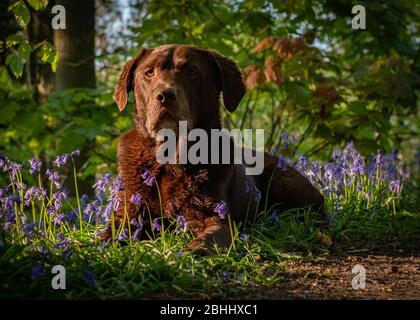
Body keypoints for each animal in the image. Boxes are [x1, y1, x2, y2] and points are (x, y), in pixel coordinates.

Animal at [101, 45, 324, 255]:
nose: (165, 95)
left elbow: (208, 239)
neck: (170, 155)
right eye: (149, 73)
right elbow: (107, 235)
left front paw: (190, 253)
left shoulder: (216, 216)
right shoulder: (129, 212)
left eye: (191, 72)